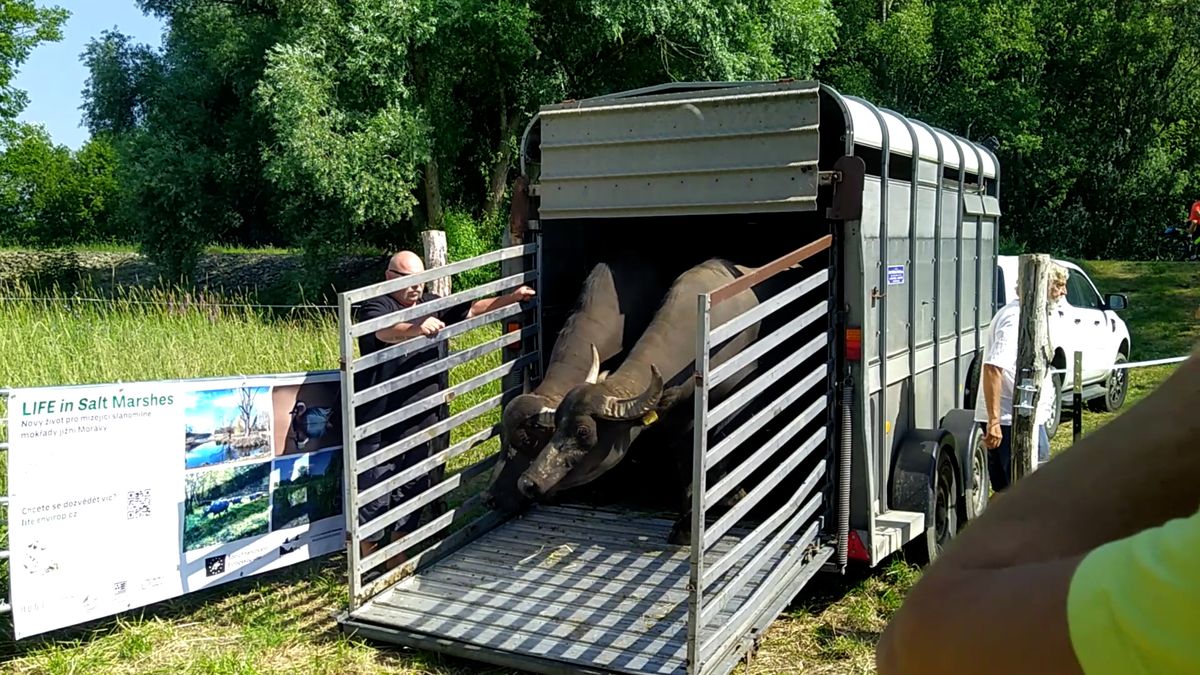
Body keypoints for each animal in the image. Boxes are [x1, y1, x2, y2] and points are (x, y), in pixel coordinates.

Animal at [518, 257, 777, 540]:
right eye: (556, 426)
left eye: (583, 431)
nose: (528, 482)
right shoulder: (679, 422)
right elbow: (686, 465)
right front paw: (684, 526)